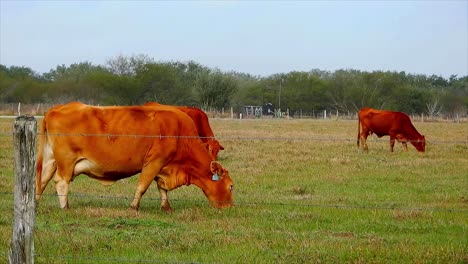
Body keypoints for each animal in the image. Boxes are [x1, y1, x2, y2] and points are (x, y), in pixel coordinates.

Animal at [35, 102, 234, 211]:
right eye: (231, 186)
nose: (231, 206)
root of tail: (56, 108)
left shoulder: (163, 166)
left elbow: (162, 188)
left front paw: (166, 207)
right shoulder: (154, 162)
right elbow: (142, 186)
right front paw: (134, 207)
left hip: (50, 160)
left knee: (42, 180)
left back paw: (35, 202)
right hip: (66, 162)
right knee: (61, 182)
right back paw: (65, 207)